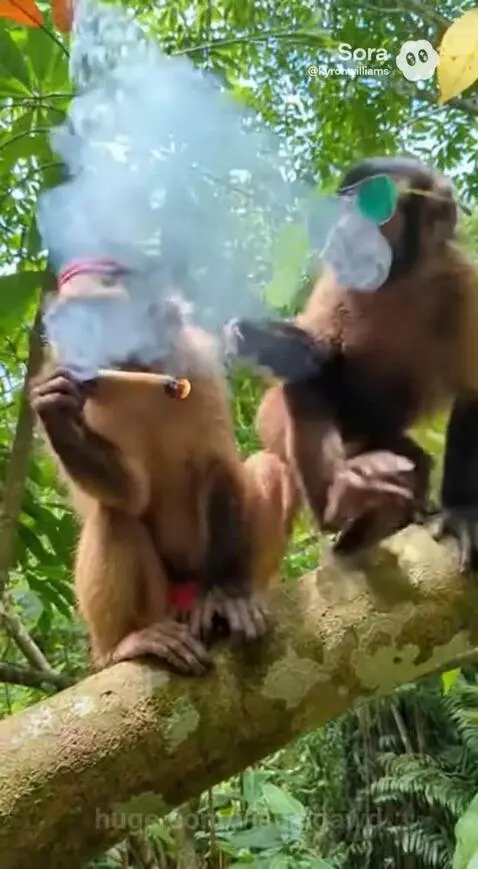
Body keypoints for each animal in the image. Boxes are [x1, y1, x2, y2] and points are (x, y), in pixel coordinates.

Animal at [30, 261, 299, 675]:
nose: (88, 345)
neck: (136, 369)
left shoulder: (195, 360)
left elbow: (215, 465)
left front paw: (225, 594)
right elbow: (130, 495)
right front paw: (57, 415)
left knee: (267, 466)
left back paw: (240, 592)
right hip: (159, 605)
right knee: (114, 516)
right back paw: (122, 644)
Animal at [224, 155, 478, 570]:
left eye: (370, 207)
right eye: (342, 209)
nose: (342, 230)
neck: (402, 280)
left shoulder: (463, 282)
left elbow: (473, 392)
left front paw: (458, 512)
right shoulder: (339, 277)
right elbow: (320, 359)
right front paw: (259, 338)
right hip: (284, 425)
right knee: (307, 382)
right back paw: (337, 502)